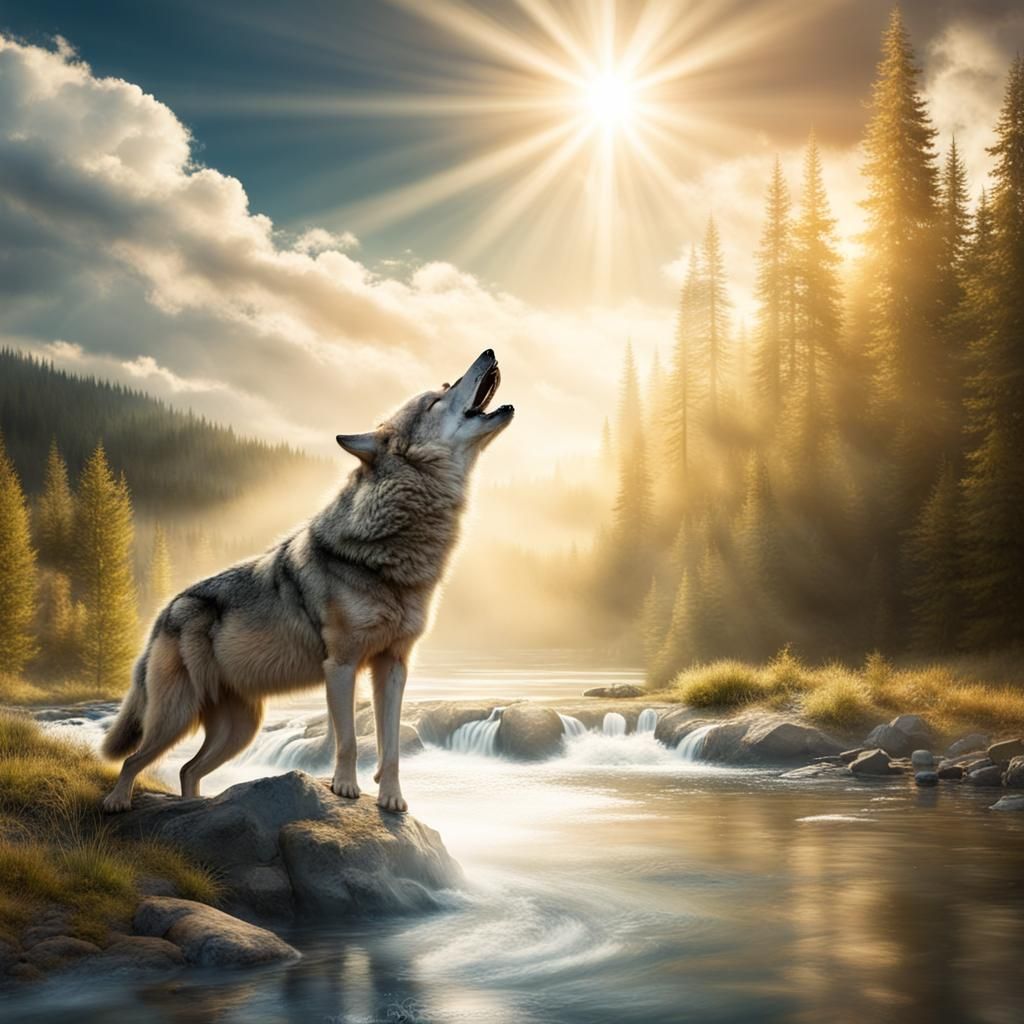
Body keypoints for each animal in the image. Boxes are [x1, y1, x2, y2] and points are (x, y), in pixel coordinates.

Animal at [101, 349, 513, 814]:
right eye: (437, 397)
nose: (489, 351)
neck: (395, 552)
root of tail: (162, 613)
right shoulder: (341, 665)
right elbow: (348, 739)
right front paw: (345, 789)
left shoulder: (393, 666)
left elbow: (390, 746)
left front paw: (391, 798)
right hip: (178, 716)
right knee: (133, 760)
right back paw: (117, 802)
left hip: (239, 729)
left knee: (188, 769)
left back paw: (197, 807)